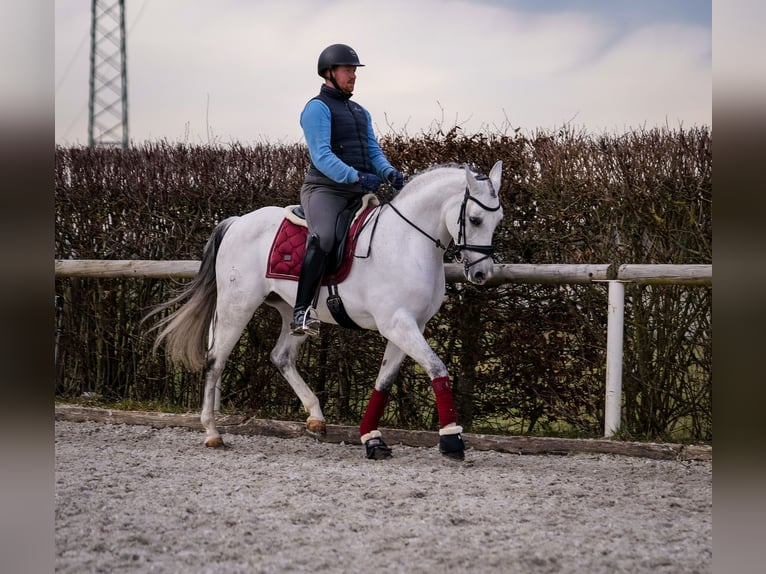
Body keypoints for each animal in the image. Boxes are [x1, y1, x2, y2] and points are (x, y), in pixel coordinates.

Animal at [148, 160, 508, 462]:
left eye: (498, 220)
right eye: (475, 219)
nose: (481, 273)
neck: (406, 241)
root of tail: (237, 222)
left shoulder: (407, 326)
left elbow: (383, 382)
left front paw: (371, 439)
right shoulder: (398, 324)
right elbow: (437, 368)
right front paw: (451, 440)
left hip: (294, 311)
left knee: (280, 356)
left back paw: (316, 419)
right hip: (237, 305)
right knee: (215, 360)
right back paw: (212, 432)